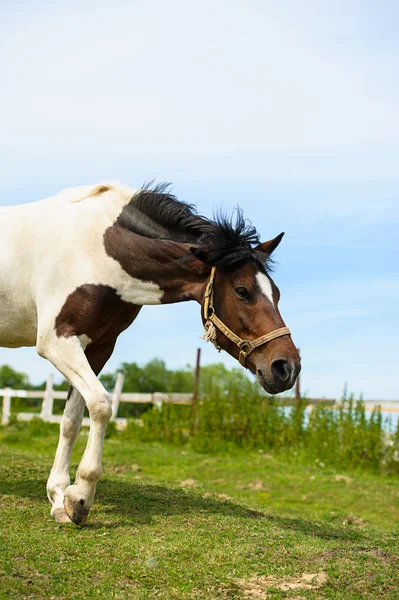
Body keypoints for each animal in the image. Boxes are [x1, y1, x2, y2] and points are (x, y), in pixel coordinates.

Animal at [0, 183, 300, 524]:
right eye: (242, 291)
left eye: (277, 294)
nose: (286, 367)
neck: (99, 250)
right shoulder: (57, 342)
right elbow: (101, 405)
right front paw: (81, 496)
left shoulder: (98, 346)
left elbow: (71, 419)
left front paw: (60, 498)